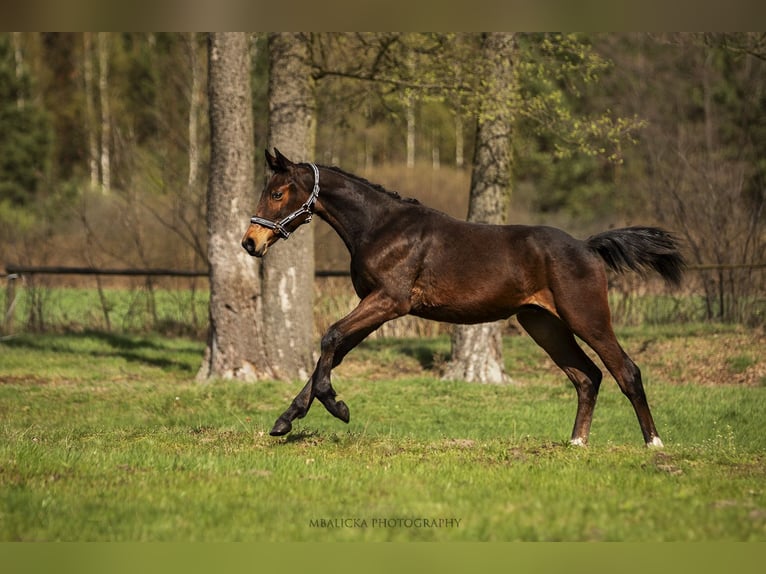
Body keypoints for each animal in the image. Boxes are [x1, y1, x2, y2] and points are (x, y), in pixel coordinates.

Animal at [243, 150, 688, 450]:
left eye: (278, 192)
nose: (251, 242)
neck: (381, 227)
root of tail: (587, 246)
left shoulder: (389, 302)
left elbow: (331, 338)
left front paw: (337, 407)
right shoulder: (375, 306)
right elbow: (334, 351)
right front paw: (286, 420)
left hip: (586, 317)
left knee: (625, 370)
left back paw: (654, 444)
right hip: (542, 323)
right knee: (587, 376)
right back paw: (576, 444)